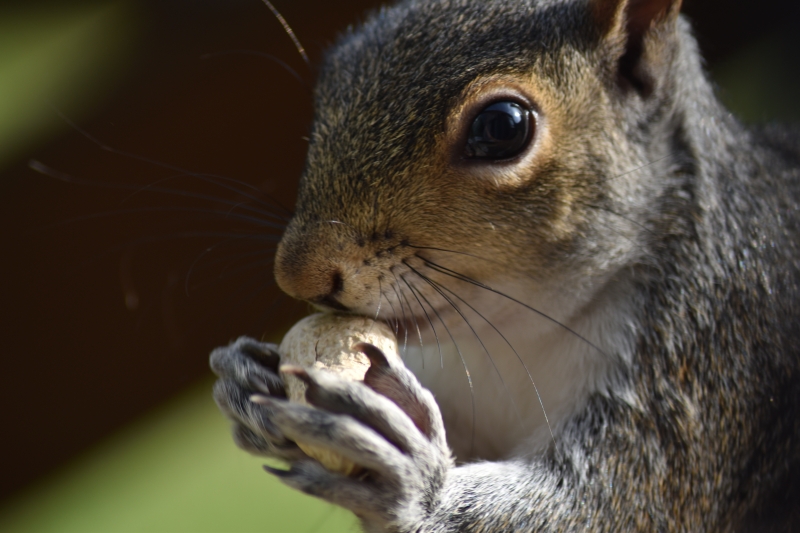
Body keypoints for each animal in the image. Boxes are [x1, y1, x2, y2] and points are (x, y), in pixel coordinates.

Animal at [208, 0, 800, 528]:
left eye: (501, 127)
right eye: (331, 83)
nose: (298, 275)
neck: (517, 332)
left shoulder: (705, 361)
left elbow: (610, 506)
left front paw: (412, 480)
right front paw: (245, 378)